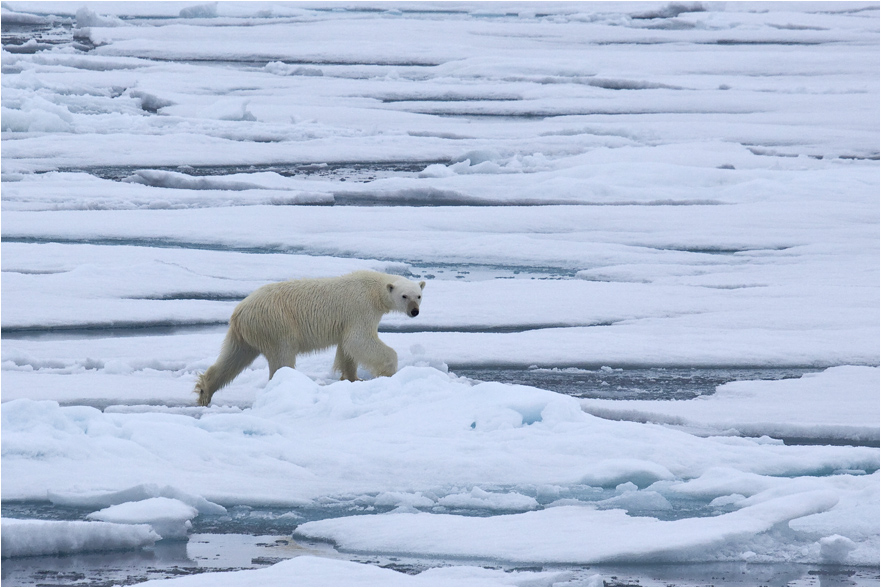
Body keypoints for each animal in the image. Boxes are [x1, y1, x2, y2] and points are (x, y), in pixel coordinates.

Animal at [193, 270, 426, 404]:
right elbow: (359, 340)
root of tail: (239, 312)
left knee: (232, 358)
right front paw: (387, 370)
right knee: (282, 357)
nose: (415, 311)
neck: (373, 289)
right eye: (404, 296)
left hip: (245, 334)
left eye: (419, 295)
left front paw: (353, 378)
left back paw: (205, 390)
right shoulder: (361, 309)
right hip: (277, 324)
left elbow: (347, 348)